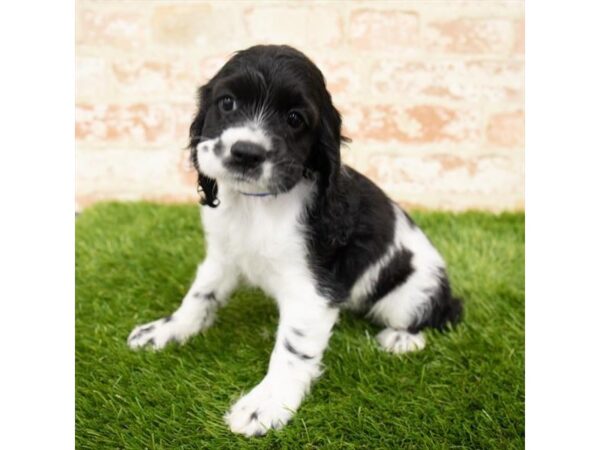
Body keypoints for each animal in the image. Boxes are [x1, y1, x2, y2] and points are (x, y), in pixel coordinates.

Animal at [127, 44, 464, 436]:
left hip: (409, 295)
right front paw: (166, 330)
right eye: (227, 103)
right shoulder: (223, 256)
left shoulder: (312, 291)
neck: (257, 204)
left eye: (294, 119)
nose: (246, 152)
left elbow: (292, 348)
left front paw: (265, 404)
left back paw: (402, 338)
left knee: (442, 312)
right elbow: (199, 297)